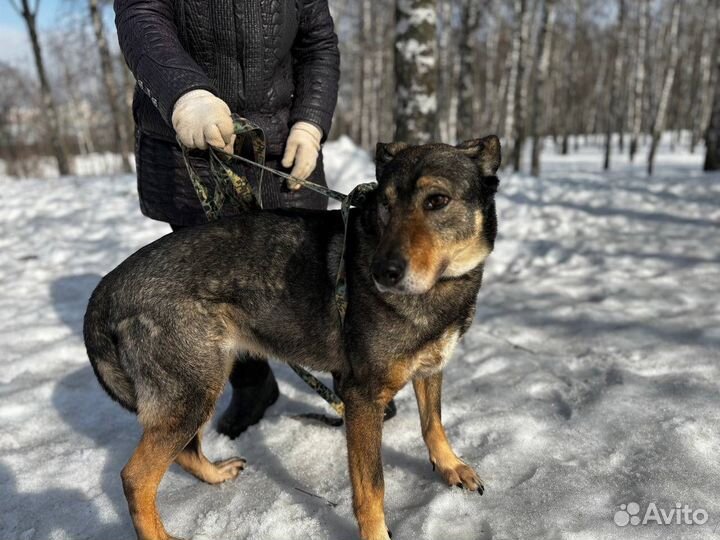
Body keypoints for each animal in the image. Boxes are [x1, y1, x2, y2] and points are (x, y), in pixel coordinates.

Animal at [83, 136, 500, 540]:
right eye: (385, 204)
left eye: (437, 201)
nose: (383, 273)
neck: (442, 287)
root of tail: (107, 288)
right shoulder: (362, 398)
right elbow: (371, 487)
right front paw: (377, 532)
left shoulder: (430, 369)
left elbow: (433, 424)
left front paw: (450, 466)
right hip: (193, 392)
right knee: (135, 477)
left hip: (203, 383)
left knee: (184, 453)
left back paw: (216, 474)